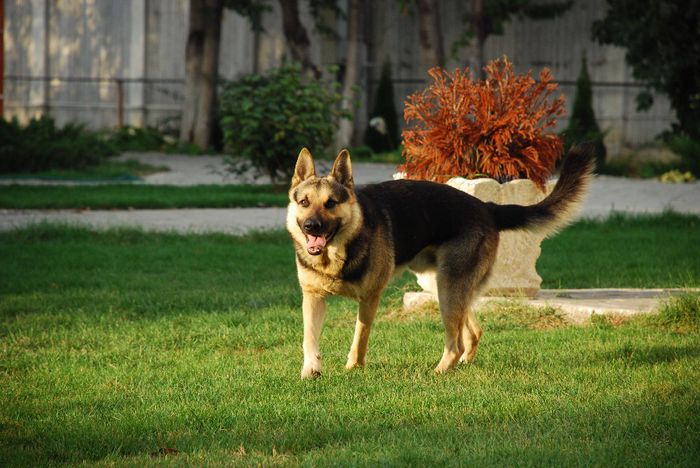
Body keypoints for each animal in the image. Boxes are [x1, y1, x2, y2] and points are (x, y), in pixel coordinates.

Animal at [288, 144, 592, 378]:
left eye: (330, 203)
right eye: (304, 202)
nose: (311, 227)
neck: (338, 252)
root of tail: (487, 208)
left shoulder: (370, 298)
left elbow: (359, 337)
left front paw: (354, 367)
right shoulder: (313, 298)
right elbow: (308, 338)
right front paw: (310, 371)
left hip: (448, 289)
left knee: (455, 343)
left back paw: (440, 371)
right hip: (443, 287)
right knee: (472, 332)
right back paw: (461, 365)